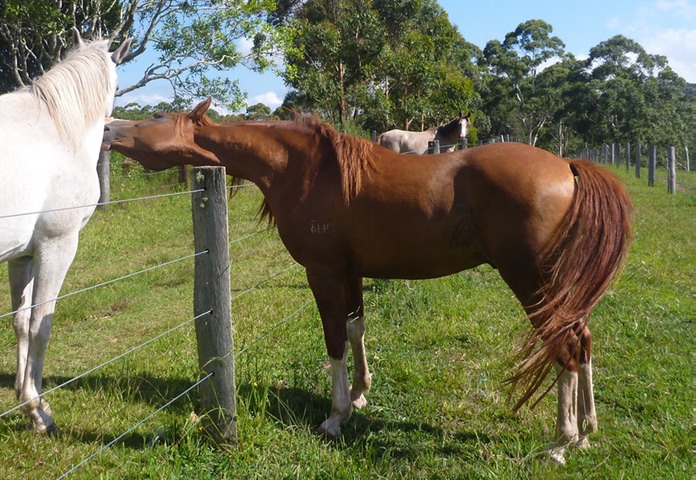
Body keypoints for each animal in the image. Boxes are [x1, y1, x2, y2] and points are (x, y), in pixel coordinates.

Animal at [0, 33, 131, 432]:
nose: (110, 130)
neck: (57, 130)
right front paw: (36, 410)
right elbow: (40, 324)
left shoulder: (22, 255)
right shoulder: (57, 246)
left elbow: (21, 321)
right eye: (116, 85)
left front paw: (23, 394)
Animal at [102, 99, 632, 464]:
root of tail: (566, 167)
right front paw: (359, 394)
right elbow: (357, 329)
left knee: (564, 347)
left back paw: (561, 442)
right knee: (583, 340)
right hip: (558, 286)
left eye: (154, 116)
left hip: (532, 282)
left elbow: (335, 339)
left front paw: (336, 416)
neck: (305, 170)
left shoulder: (323, 273)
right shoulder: (351, 272)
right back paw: (587, 430)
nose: (107, 127)